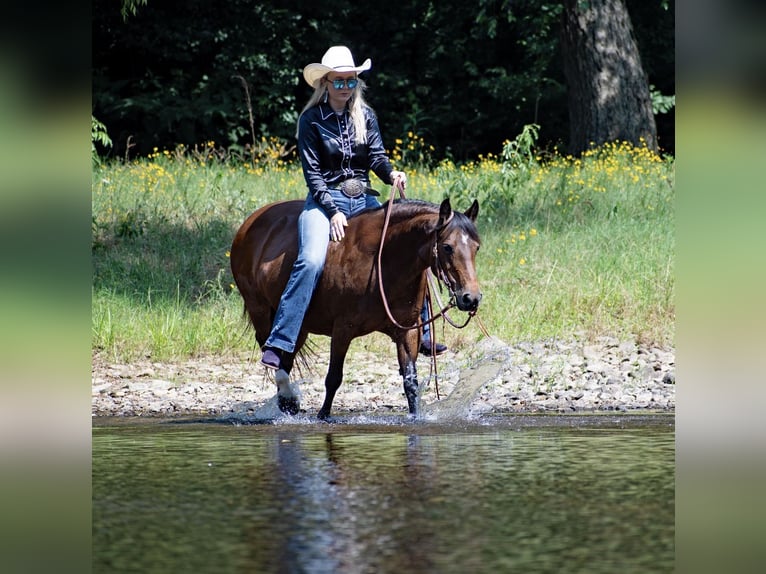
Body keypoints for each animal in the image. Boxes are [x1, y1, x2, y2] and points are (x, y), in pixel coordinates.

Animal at [228, 197, 484, 418]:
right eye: (447, 247)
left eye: (477, 247)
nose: (471, 298)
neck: (382, 262)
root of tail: (250, 222)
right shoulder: (343, 328)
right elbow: (333, 378)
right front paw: (323, 416)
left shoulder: (408, 330)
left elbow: (410, 382)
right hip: (260, 310)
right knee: (270, 349)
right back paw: (286, 395)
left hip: (300, 327)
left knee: (287, 355)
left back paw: (287, 402)